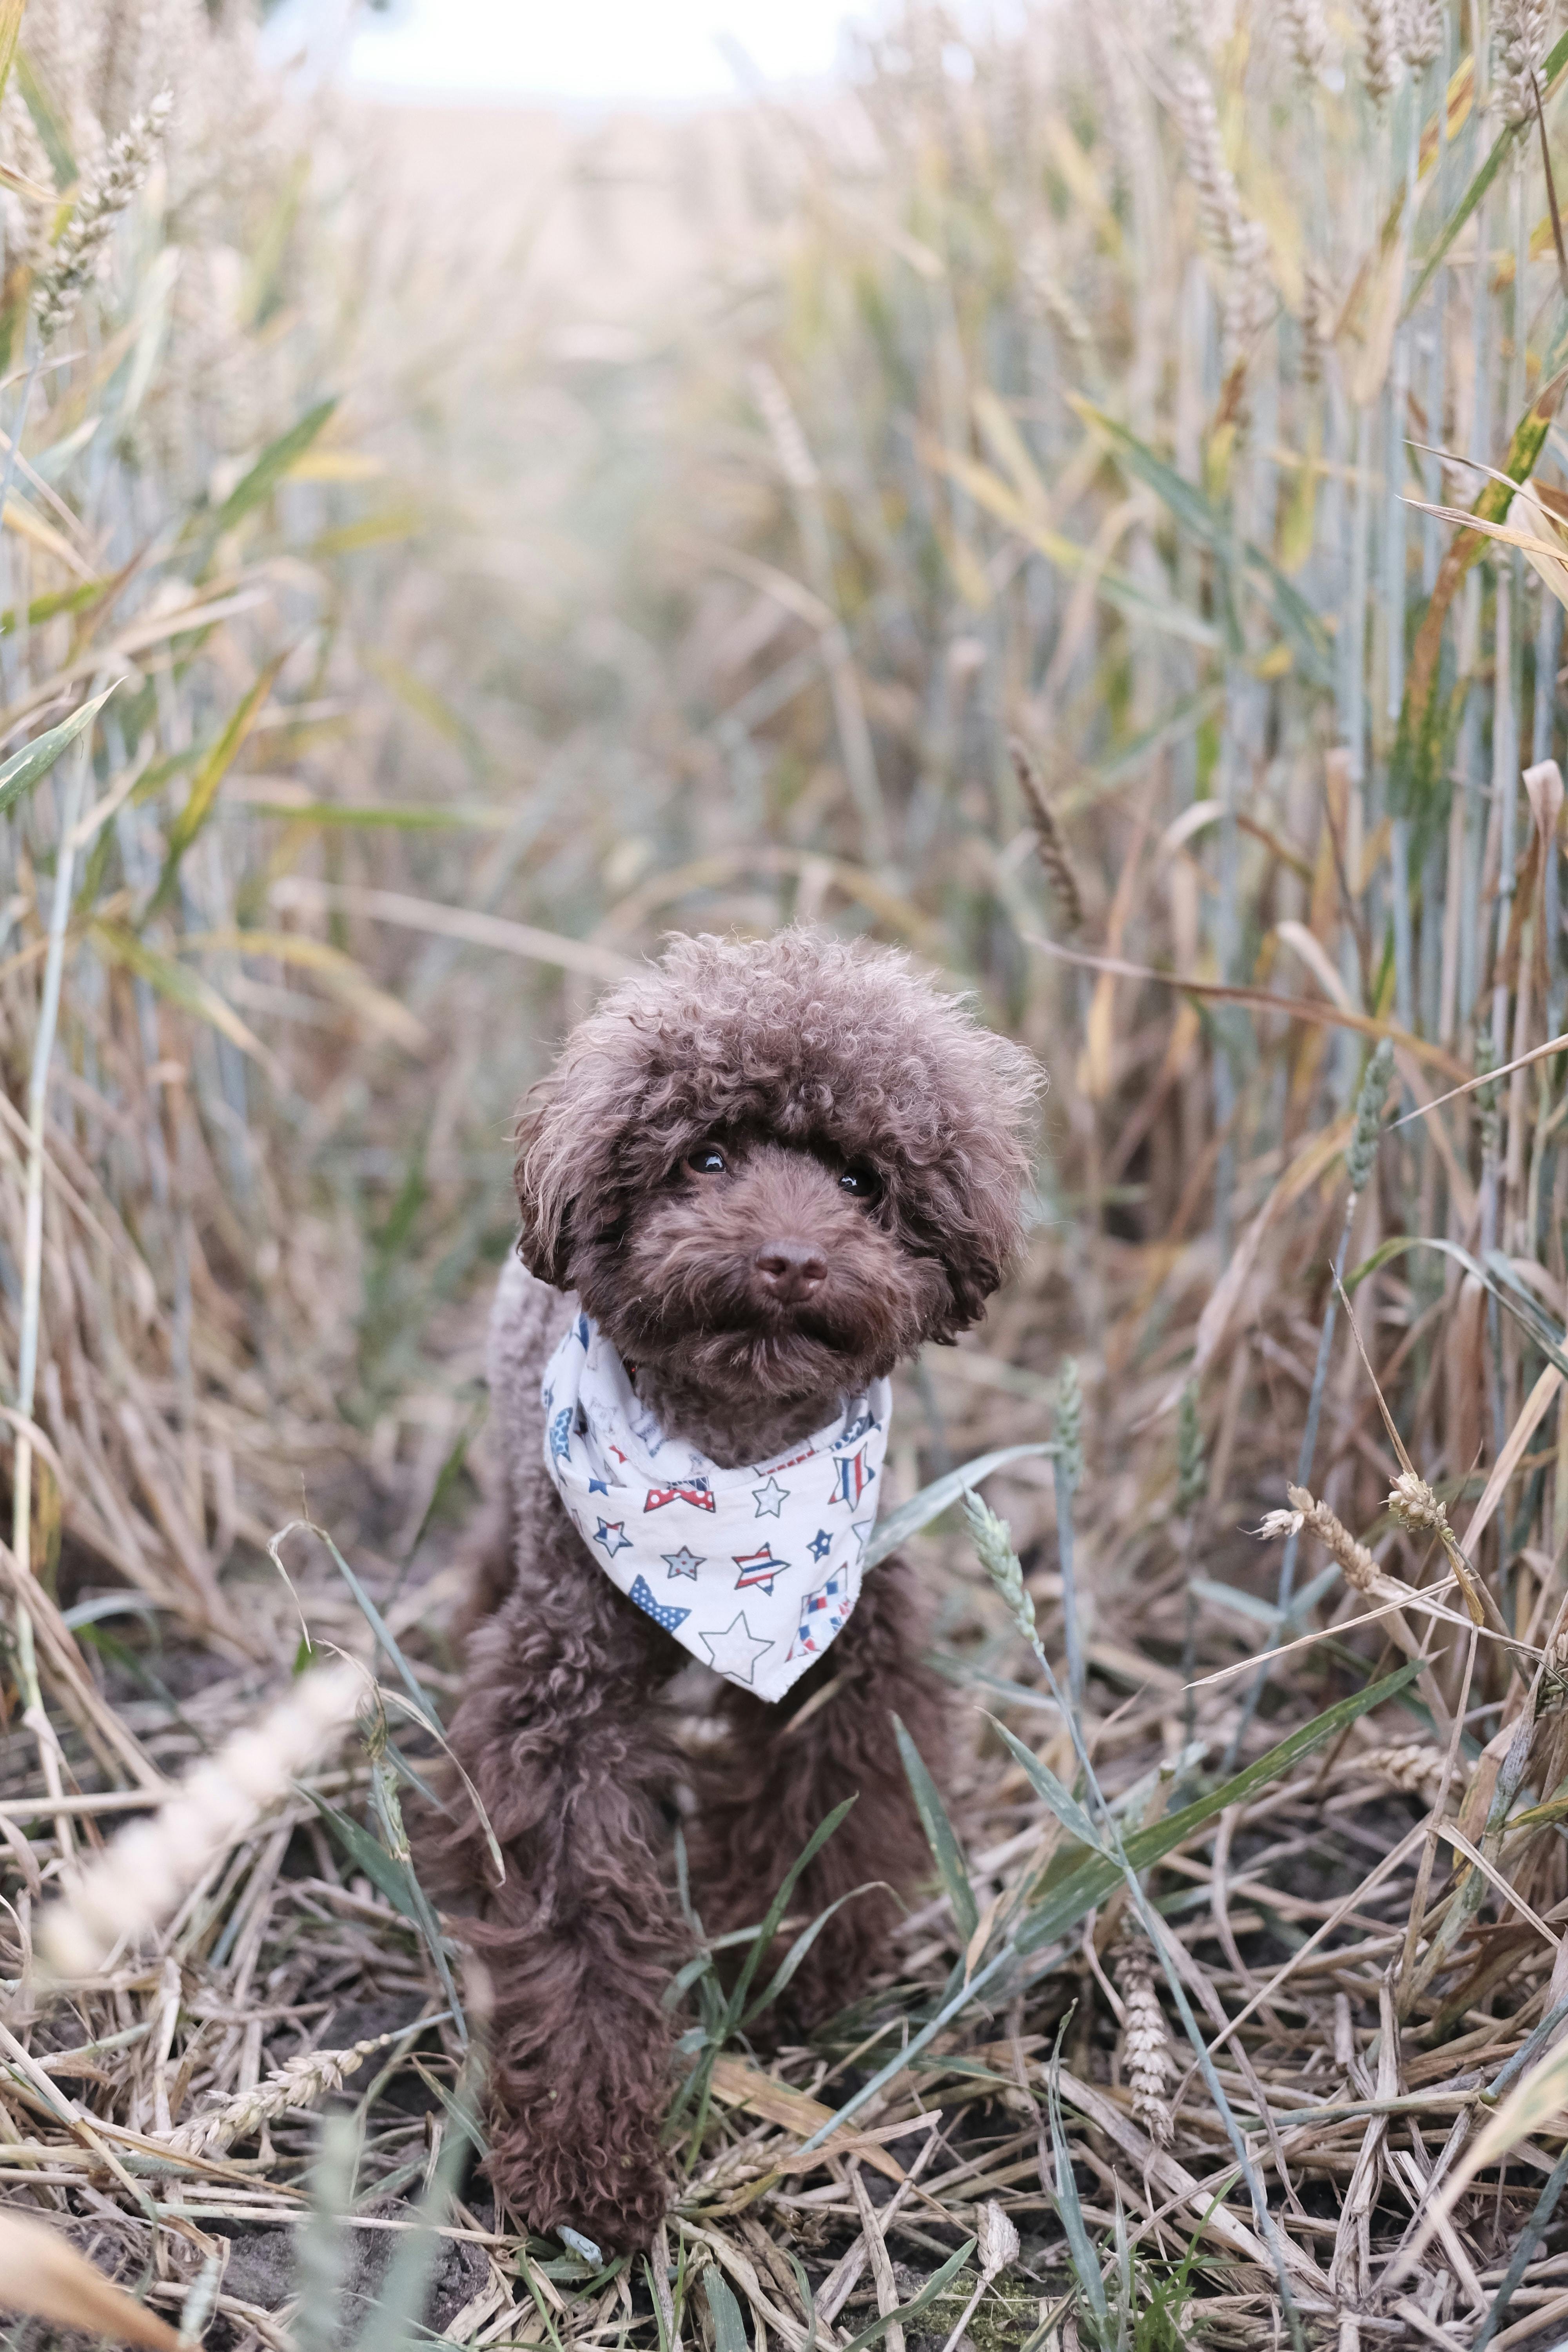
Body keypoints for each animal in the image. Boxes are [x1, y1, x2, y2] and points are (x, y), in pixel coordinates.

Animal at [444, 927, 1044, 2249]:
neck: (725, 1464)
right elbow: (574, 1911)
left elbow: (823, 1814)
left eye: (865, 1180)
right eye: (705, 1156)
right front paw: (583, 2159)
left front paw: (781, 1963)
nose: (790, 1260)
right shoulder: (560, 1702)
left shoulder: (845, 1653)